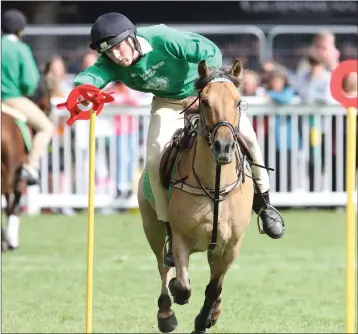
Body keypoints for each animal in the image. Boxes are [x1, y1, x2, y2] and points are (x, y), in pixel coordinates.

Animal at [137, 59, 255, 334]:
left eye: (238, 102)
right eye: (205, 101)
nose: (224, 147)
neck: (215, 187)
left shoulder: (231, 244)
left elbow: (214, 287)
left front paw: (204, 319)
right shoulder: (179, 235)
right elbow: (181, 284)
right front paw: (181, 300)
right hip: (151, 226)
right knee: (163, 266)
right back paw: (166, 313)